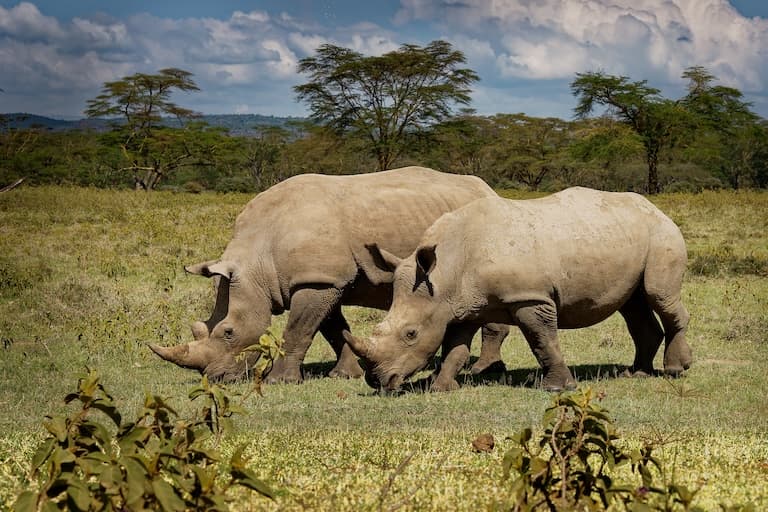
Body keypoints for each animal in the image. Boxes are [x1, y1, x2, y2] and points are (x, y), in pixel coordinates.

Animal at [150, 166, 510, 383]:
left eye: (228, 332)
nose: (216, 378)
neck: (256, 262)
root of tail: (489, 190)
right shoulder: (325, 279)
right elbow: (333, 329)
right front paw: (346, 374)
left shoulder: (317, 280)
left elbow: (299, 329)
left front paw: (280, 380)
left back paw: (485, 370)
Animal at [344, 187, 693, 392]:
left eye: (411, 334)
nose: (377, 381)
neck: (445, 273)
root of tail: (656, 208)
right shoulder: (461, 304)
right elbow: (455, 348)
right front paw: (440, 387)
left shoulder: (529, 297)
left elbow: (542, 340)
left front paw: (558, 388)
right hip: (624, 236)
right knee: (633, 304)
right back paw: (636, 374)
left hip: (662, 235)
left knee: (658, 295)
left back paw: (676, 370)